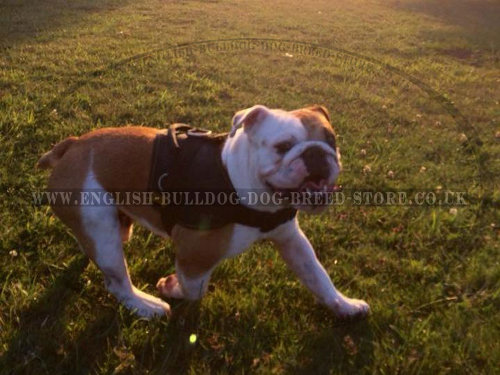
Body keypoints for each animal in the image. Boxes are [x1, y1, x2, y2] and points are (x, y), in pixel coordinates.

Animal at [37, 105, 370, 320]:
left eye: (331, 140)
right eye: (282, 146)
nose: (317, 152)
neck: (239, 182)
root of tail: (71, 146)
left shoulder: (291, 240)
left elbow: (318, 275)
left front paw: (344, 305)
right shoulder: (193, 255)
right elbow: (195, 288)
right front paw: (171, 287)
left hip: (110, 224)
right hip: (103, 234)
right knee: (116, 280)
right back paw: (146, 306)